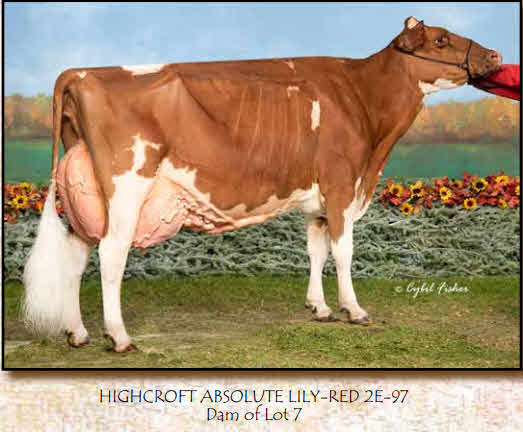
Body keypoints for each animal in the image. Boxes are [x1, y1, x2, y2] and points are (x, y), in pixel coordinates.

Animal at [23, 17, 501, 352]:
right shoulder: (341, 186)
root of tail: (81, 73)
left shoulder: (317, 201)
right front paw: (354, 309)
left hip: (88, 196)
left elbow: (316, 251)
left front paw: (320, 308)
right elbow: (343, 253)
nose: (495, 55)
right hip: (125, 189)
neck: (363, 103)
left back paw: (78, 333)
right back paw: (118, 336)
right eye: (440, 40)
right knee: (111, 256)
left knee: (77, 256)